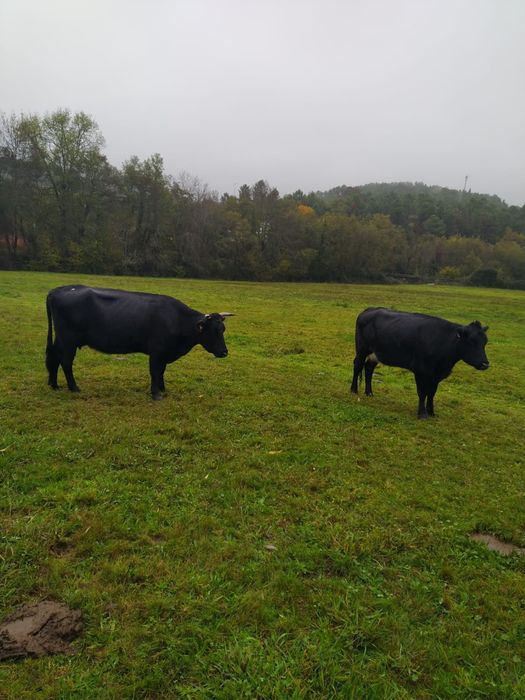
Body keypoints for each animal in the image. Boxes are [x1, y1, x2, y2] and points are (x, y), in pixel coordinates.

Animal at [46, 285, 234, 400]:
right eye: (214, 331)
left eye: (223, 329)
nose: (224, 352)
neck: (176, 320)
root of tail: (58, 290)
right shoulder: (157, 351)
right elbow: (155, 371)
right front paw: (156, 393)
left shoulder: (163, 353)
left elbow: (161, 371)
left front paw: (162, 389)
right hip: (68, 341)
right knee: (66, 362)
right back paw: (74, 388)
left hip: (60, 339)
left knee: (54, 357)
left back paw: (54, 385)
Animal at [350, 307, 489, 418]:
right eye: (471, 341)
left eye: (485, 342)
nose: (485, 364)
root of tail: (369, 310)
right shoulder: (420, 370)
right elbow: (422, 392)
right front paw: (422, 413)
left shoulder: (436, 374)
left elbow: (432, 393)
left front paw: (431, 412)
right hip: (362, 349)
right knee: (357, 365)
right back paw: (353, 390)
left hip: (375, 354)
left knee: (368, 369)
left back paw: (369, 393)